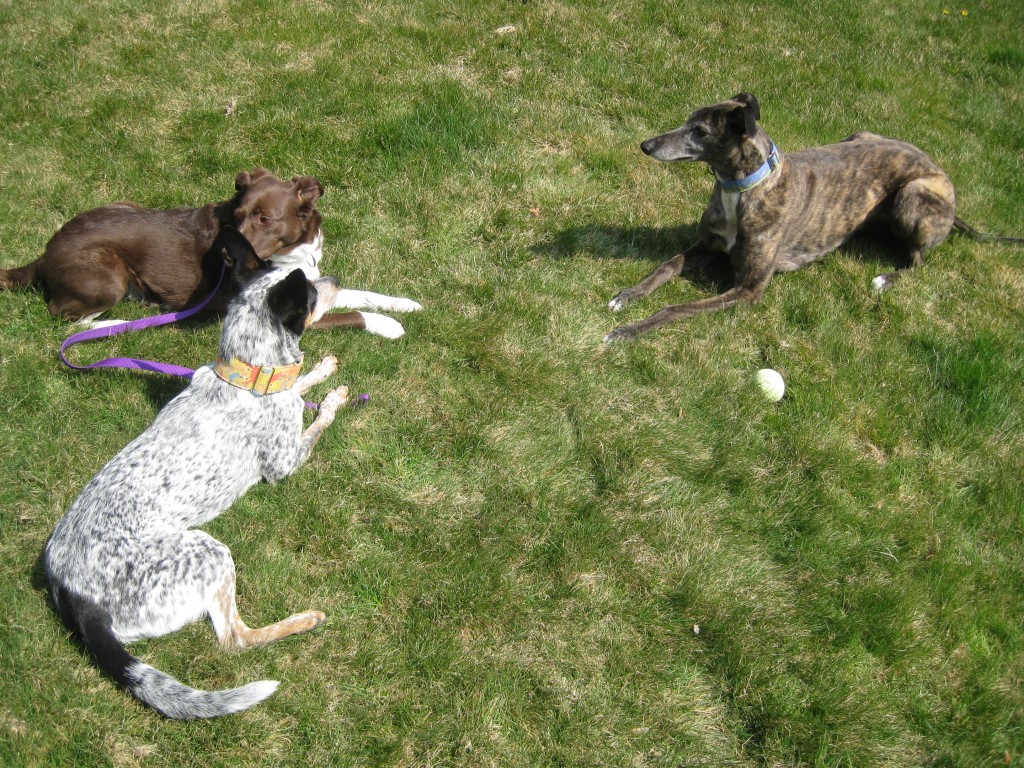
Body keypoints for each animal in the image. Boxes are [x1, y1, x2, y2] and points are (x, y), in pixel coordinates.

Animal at [44, 225, 352, 720]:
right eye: (308, 292)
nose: (338, 278)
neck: (248, 375)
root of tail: (73, 594)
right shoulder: (285, 464)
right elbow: (319, 416)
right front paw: (333, 398)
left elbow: (300, 382)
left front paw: (321, 368)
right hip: (209, 552)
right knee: (235, 640)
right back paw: (301, 621)